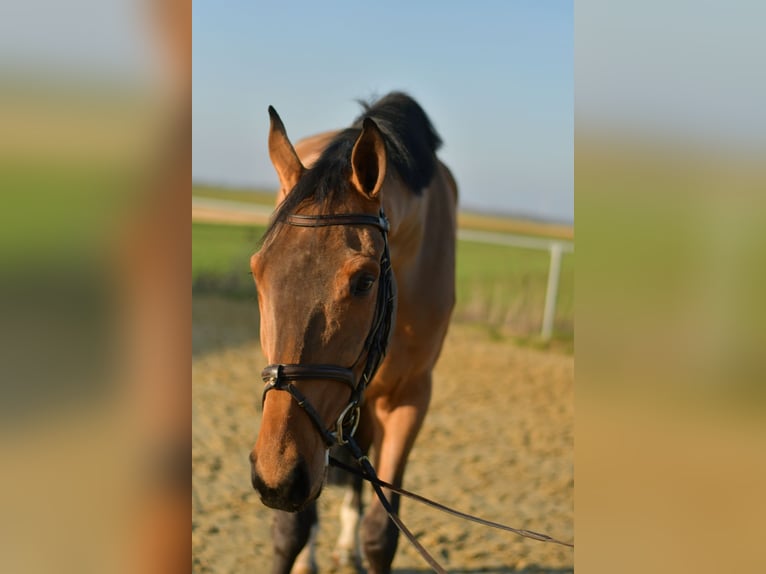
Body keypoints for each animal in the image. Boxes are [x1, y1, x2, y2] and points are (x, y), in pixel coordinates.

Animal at [249, 92, 457, 574]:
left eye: (364, 281)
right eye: (257, 271)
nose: (276, 479)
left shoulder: (409, 399)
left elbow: (381, 534)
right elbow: (290, 530)